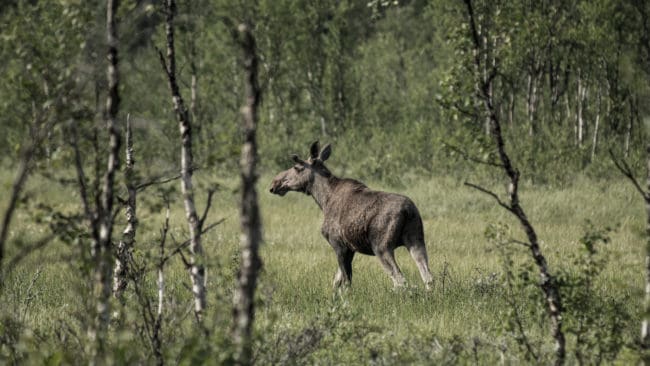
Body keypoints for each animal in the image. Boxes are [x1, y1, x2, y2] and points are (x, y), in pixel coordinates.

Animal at [268, 142, 430, 290]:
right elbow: (336, 281)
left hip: (382, 247)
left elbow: (346, 282)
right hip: (416, 240)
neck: (323, 200)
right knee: (427, 277)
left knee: (400, 280)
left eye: (297, 167)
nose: (274, 183)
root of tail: (408, 210)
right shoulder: (350, 249)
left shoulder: (339, 245)